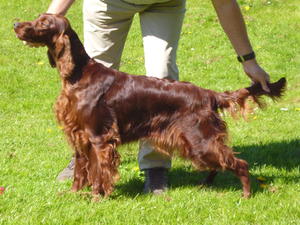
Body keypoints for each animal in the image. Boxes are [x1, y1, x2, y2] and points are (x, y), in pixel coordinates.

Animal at [14, 13, 286, 199]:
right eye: (38, 18)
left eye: (44, 23)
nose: (16, 25)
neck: (78, 74)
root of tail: (208, 94)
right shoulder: (80, 136)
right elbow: (82, 171)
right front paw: (74, 195)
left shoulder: (100, 138)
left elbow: (100, 171)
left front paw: (97, 197)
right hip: (196, 144)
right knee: (219, 164)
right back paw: (204, 185)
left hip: (199, 140)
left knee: (239, 164)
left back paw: (246, 195)